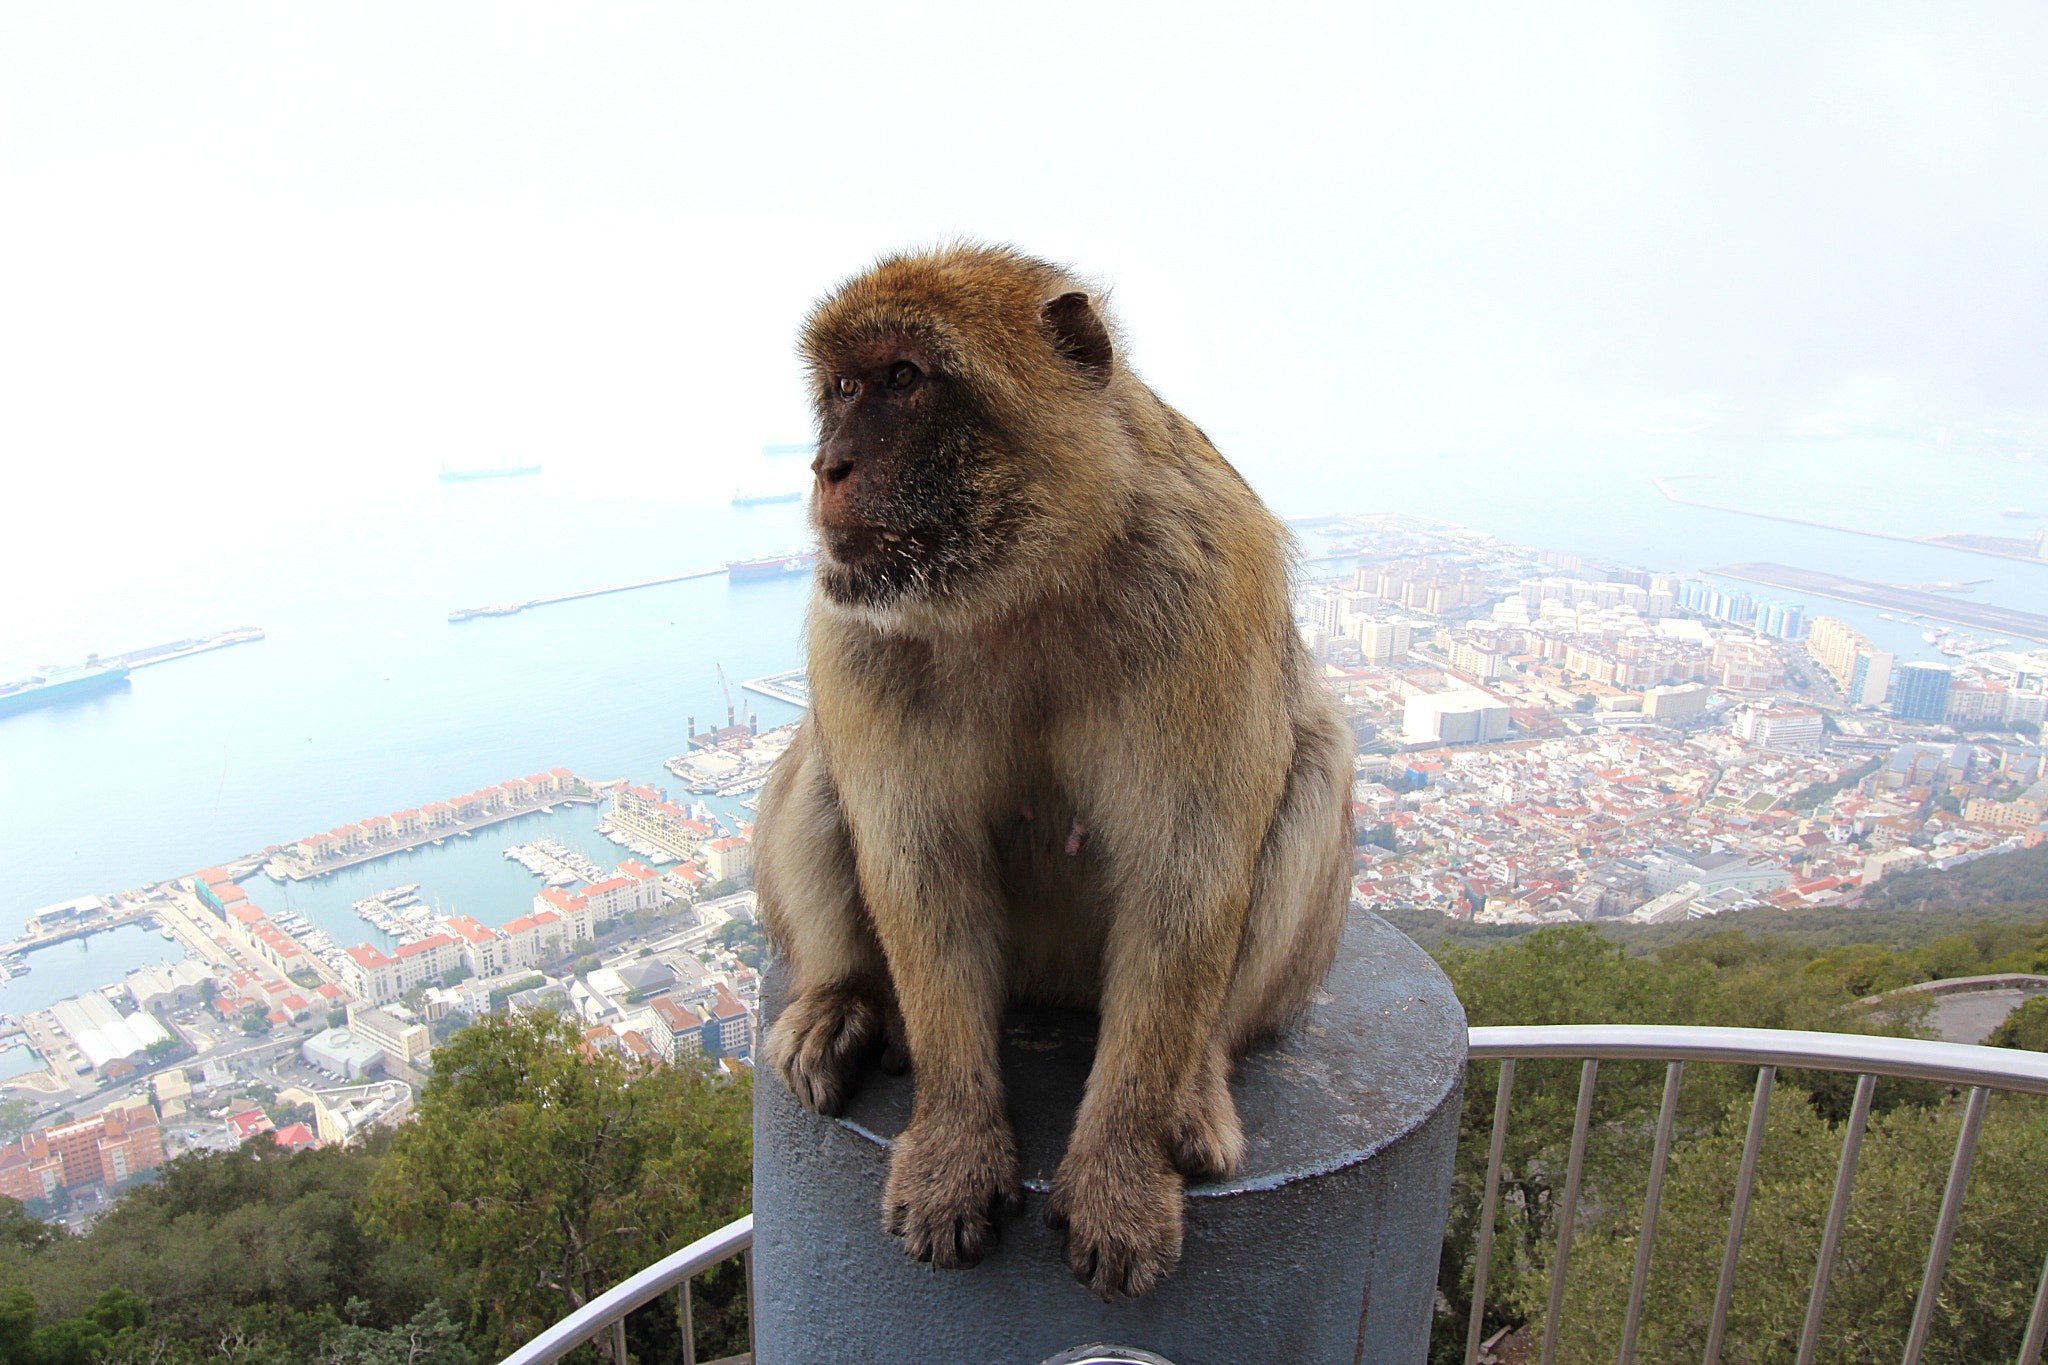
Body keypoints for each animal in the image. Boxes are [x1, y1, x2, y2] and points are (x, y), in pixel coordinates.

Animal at [751, 244, 1354, 1300]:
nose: (827, 465)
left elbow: (1185, 878)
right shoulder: (858, 633)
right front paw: (955, 1148)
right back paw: (843, 1002)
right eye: (844, 389)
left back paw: (1197, 1077)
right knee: (821, 770)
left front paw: (1120, 1171)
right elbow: (924, 871)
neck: (1027, 581)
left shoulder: (1206, 588)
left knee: (1314, 763)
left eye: (902, 378)